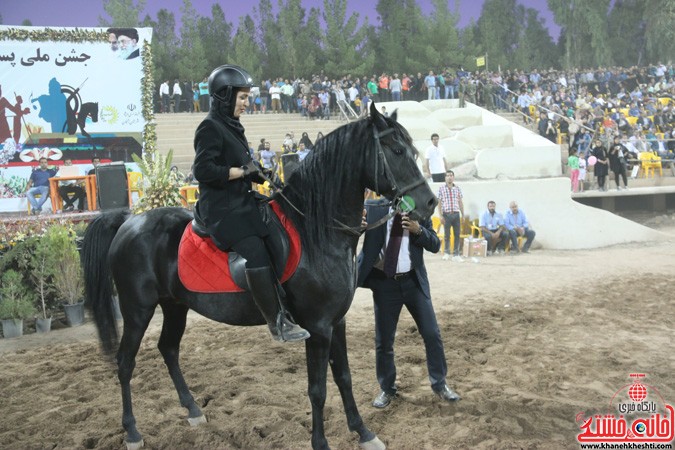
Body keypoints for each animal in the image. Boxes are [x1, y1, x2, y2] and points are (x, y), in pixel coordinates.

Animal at [82, 103, 438, 448]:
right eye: (397, 150)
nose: (430, 203)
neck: (316, 230)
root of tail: (129, 221)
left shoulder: (336, 322)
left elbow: (344, 378)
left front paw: (364, 433)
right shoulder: (318, 326)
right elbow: (317, 389)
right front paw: (321, 442)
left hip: (174, 305)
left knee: (168, 349)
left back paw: (194, 410)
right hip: (137, 310)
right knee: (125, 362)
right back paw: (132, 432)